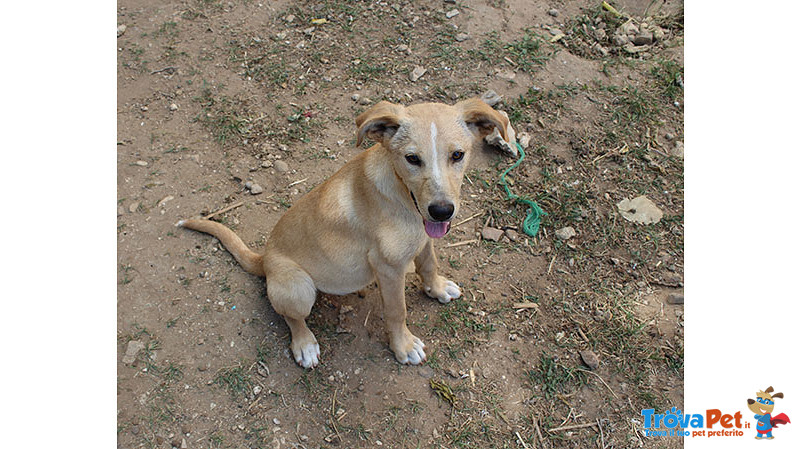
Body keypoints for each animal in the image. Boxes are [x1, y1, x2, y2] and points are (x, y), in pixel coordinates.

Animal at [179, 98, 510, 368]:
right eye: (412, 159)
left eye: (458, 155)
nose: (442, 211)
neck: (403, 196)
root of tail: (264, 258)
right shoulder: (388, 267)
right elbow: (397, 311)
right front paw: (403, 346)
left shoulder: (424, 239)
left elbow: (429, 265)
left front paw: (437, 288)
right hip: (299, 288)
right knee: (291, 317)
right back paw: (305, 345)